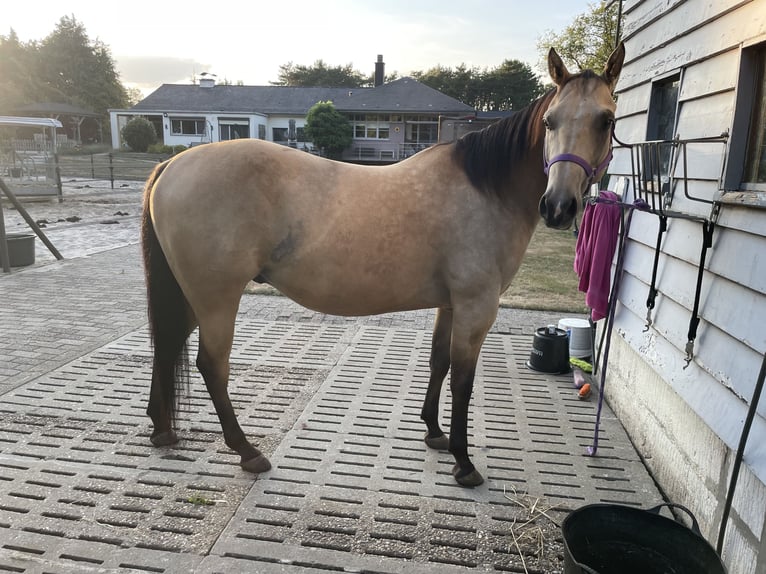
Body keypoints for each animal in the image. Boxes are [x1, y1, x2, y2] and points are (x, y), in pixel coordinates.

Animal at [140, 43, 625, 487]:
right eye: (549, 122)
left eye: (606, 120)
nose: (558, 207)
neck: (487, 188)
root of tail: (172, 164)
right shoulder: (477, 309)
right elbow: (463, 381)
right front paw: (464, 462)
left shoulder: (451, 305)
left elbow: (438, 362)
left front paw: (434, 433)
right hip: (216, 299)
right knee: (211, 366)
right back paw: (247, 451)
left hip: (191, 297)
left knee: (166, 345)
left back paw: (163, 430)